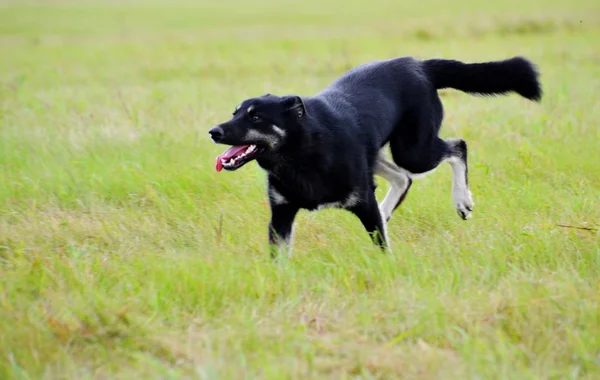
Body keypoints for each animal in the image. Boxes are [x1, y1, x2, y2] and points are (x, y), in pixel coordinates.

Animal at [209, 56, 540, 256]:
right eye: (235, 113)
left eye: (255, 117)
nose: (213, 132)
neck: (300, 154)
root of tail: (418, 64)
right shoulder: (281, 214)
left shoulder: (363, 202)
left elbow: (383, 248)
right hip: (379, 151)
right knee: (403, 178)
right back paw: (391, 208)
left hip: (412, 150)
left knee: (457, 147)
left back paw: (462, 200)